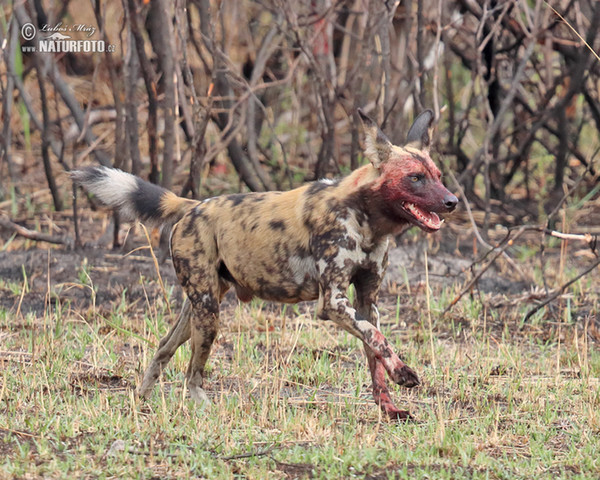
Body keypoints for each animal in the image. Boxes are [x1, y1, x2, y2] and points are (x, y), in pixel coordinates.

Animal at [74, 109, 460, 420]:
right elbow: (378, 340)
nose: (452, 201)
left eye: (438, 175)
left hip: (199, 308)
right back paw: (204, 409)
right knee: (192, 374)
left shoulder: (367, 302)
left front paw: (389, 408)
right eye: (415, 178)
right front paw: (404, 374)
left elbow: (375, 355)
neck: (367, 220)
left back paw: (140, 401)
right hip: (209, 314)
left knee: (163, 347)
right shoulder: (333, 303)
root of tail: (193, 205)